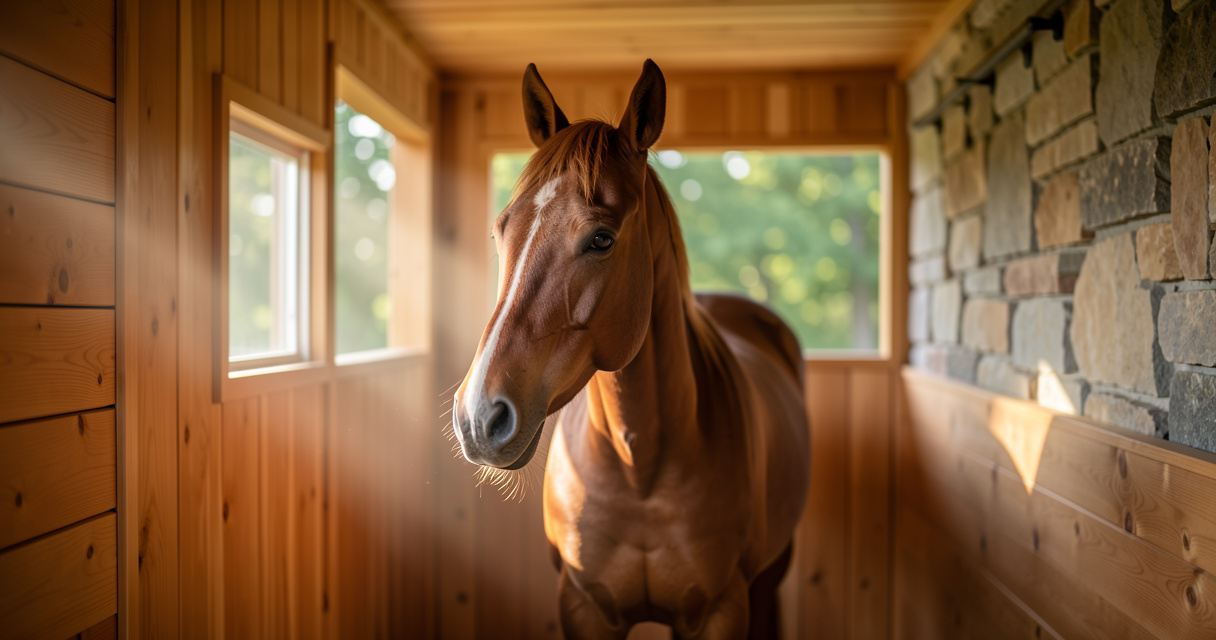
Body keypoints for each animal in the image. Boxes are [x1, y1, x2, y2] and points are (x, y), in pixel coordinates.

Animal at [451, 59, 811, 639]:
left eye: (601, 238)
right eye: (501, 230)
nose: (479, 418)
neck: (638, 467)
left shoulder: (721, 610)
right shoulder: (582, 606)